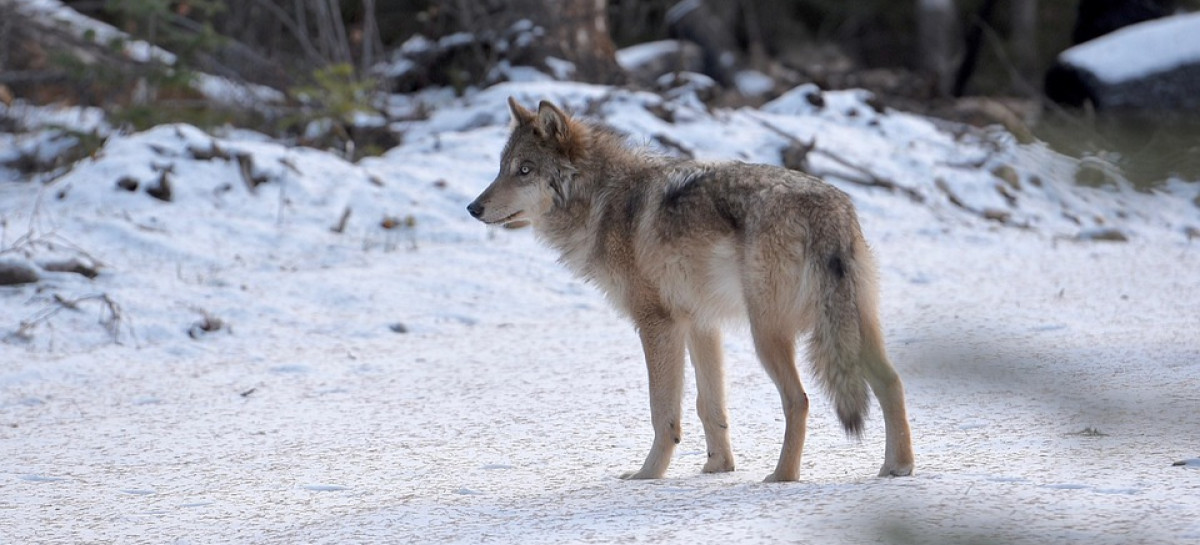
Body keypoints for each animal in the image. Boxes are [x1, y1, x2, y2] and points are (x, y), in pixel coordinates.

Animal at [470, 97, 916, 480]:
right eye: (501, 168)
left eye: (524, 170)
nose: (473, 208)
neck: (603, 201)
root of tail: (827, 208)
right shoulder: (701, 324)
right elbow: (709, 406)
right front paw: (718, 467)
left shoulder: (657, 325)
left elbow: (663, 410)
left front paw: (648, 474)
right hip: (852, 328)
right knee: (892, 382)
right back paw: (898, 467)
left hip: (767, 336)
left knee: (799, 400)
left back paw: (782, 476)